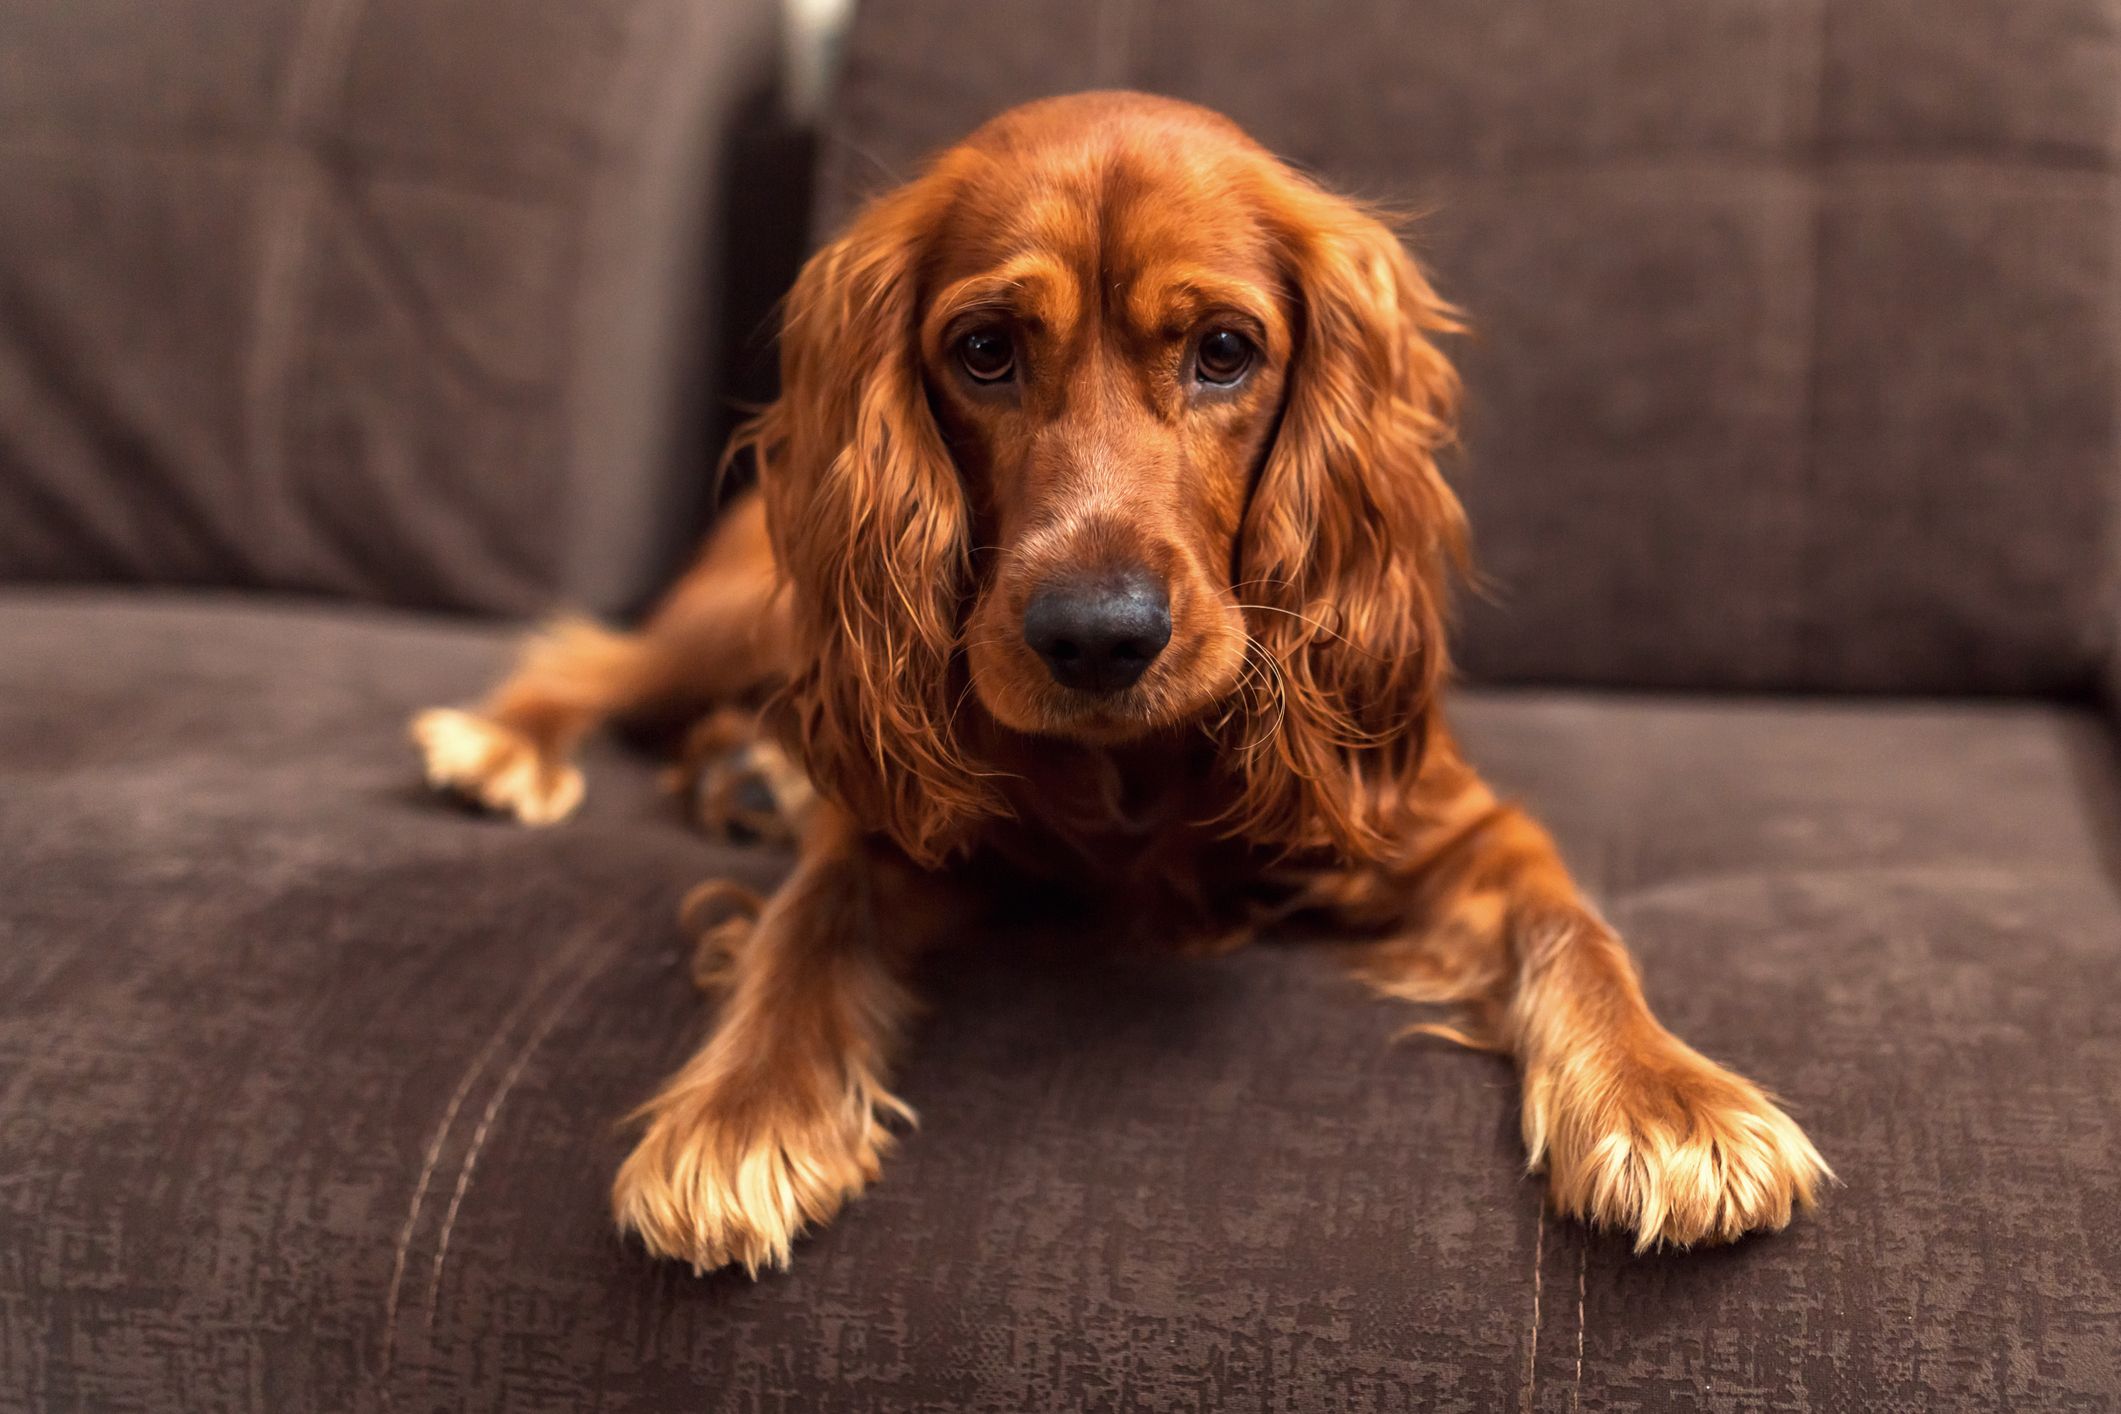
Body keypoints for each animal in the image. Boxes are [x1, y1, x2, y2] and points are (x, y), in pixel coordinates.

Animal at [409, 93, 1824, 1280]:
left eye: (1223, 351)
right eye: (984, 350)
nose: (1096, 637)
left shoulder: (1449, 820)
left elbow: (1575, 927)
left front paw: (1668, 1100)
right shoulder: (892, 830)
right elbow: (805, 923)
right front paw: (738, 1113)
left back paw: (742, 774)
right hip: (743, 605)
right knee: (599, 658)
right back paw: (507, 745)